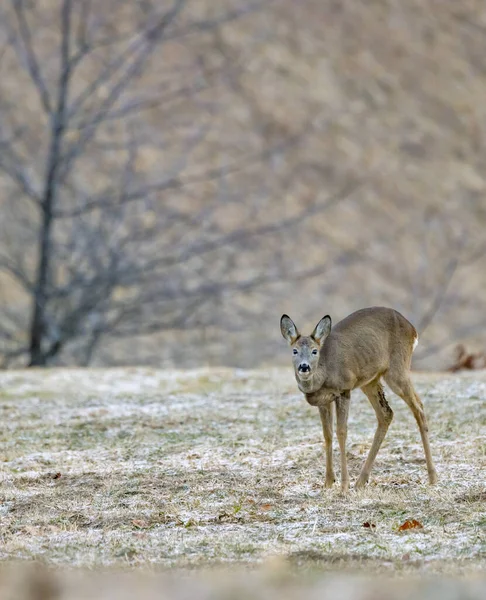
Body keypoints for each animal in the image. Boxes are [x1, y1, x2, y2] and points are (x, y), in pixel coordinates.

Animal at [280, 308, 438, 494]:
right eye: (294, 351)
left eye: (314, 351)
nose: (304, 367)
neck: (324, 373)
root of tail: (412, 329)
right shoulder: (324, 400)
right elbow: (327, 434)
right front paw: (328, 482)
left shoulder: (344, 389)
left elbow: (341, 432)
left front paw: (343, 485)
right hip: (370, 380)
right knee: (386, 414)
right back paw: (361, 481)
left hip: (398, 369)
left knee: (418, 407)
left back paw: (433, 477)